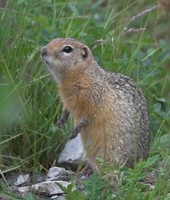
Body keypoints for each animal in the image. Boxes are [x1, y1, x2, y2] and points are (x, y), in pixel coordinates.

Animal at [40, 37, 149, 167]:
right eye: (54, 39)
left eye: (67, 49)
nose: (42, 50)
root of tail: (140, 160)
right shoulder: (67, 100)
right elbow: (66, 109)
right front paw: (61, 120)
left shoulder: (91, 101)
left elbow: (84, 116)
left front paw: (75, 131)